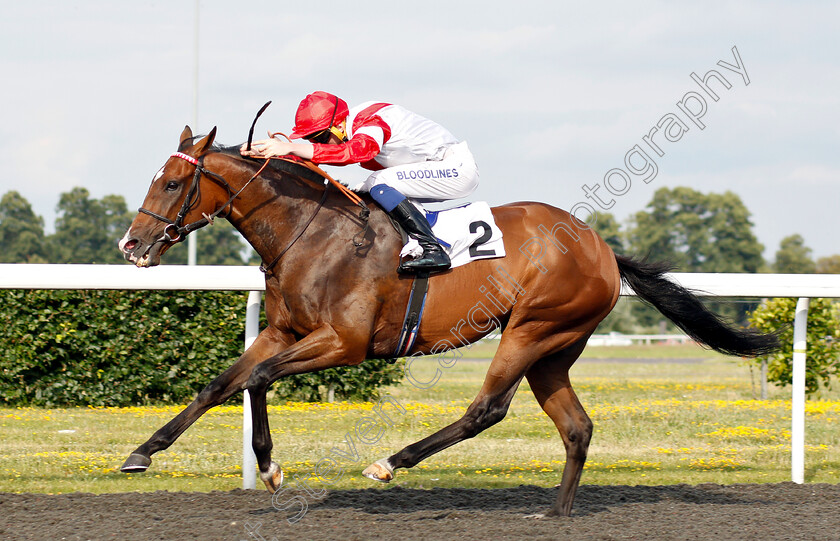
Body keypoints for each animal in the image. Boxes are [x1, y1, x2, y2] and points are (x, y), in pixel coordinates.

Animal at [118, 124, 776, 516]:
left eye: (172, 183)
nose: (133, 245)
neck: (311, 232)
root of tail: (603, 248)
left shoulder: (343, 342)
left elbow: (256, 380)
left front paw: (272, 468)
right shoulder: (285, 332)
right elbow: (219, 385)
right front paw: (142, 453)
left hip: (532, 328)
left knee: (487, 409)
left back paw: (390, 463)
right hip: (555, 349)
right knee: (577, 427)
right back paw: (555, 512)